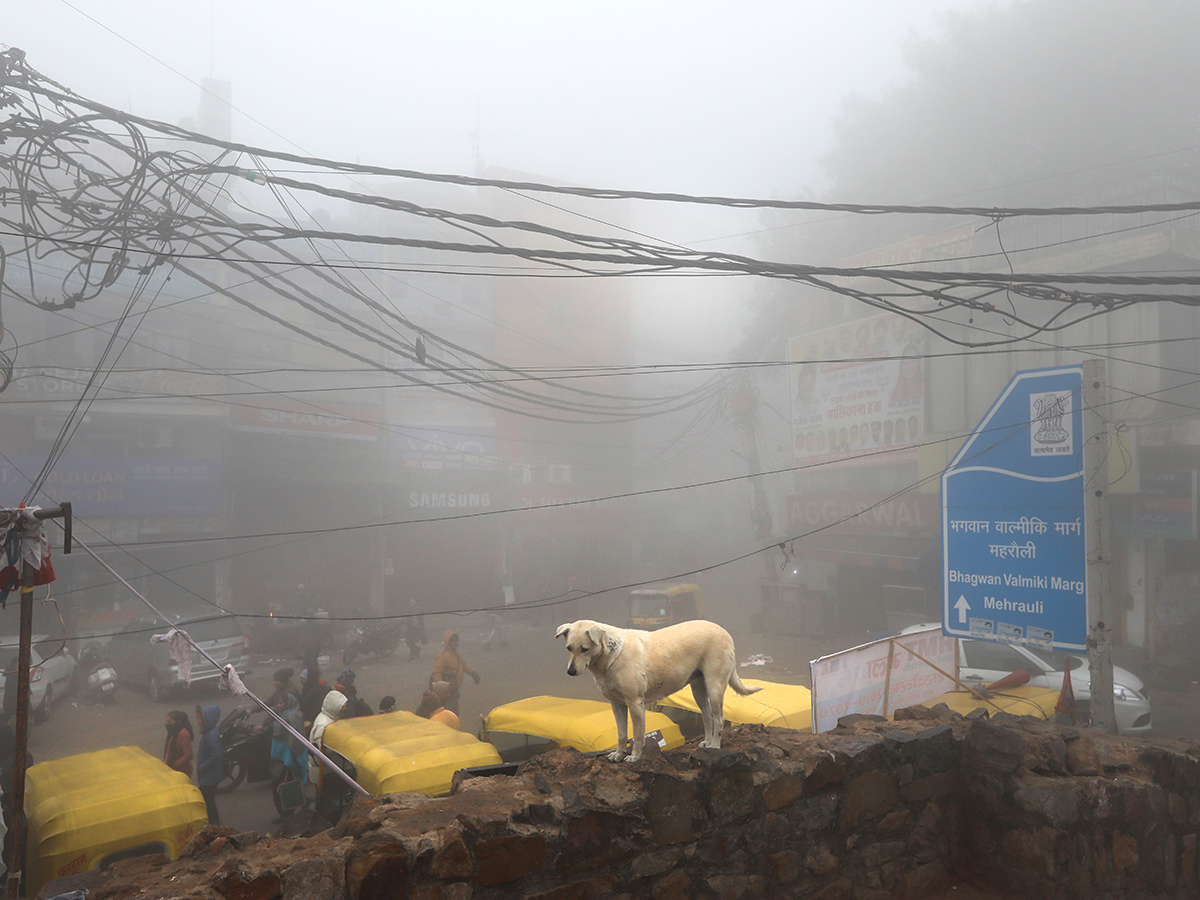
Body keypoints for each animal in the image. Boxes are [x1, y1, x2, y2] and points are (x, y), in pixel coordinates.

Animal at [552, 619, 758, 763]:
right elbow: (621, 734)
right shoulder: (616, 704)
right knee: (707, 718)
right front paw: (617, 755)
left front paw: (634, 757)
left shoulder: (635, 703)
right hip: (698, 689)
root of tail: (724, 631)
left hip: (715, 686)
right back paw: (707, 744)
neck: (611, 656)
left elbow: (637, 735)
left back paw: (715, 746)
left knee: (719, 719)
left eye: (584, 649)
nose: (570, 671)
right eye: (569, 648)